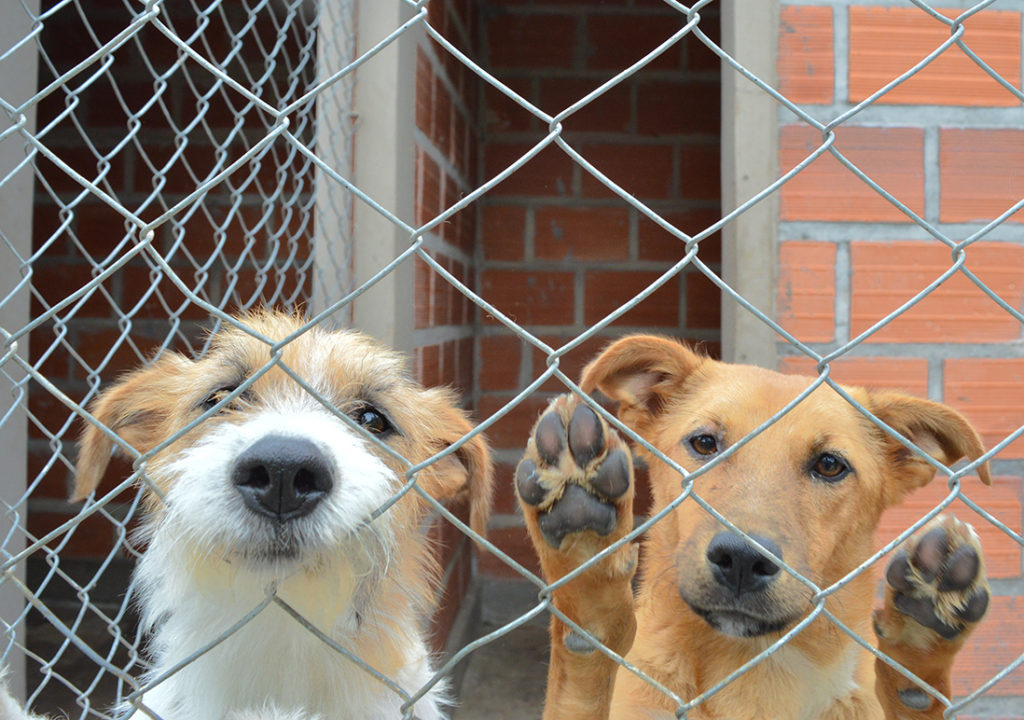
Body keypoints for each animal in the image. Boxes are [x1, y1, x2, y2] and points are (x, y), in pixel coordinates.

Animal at [516, 335, 987, 720]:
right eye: (705, 442)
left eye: (830, 465)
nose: (741, 559)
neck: (751, 668)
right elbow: (579, 690)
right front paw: (587, 580)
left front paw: (920, 649)